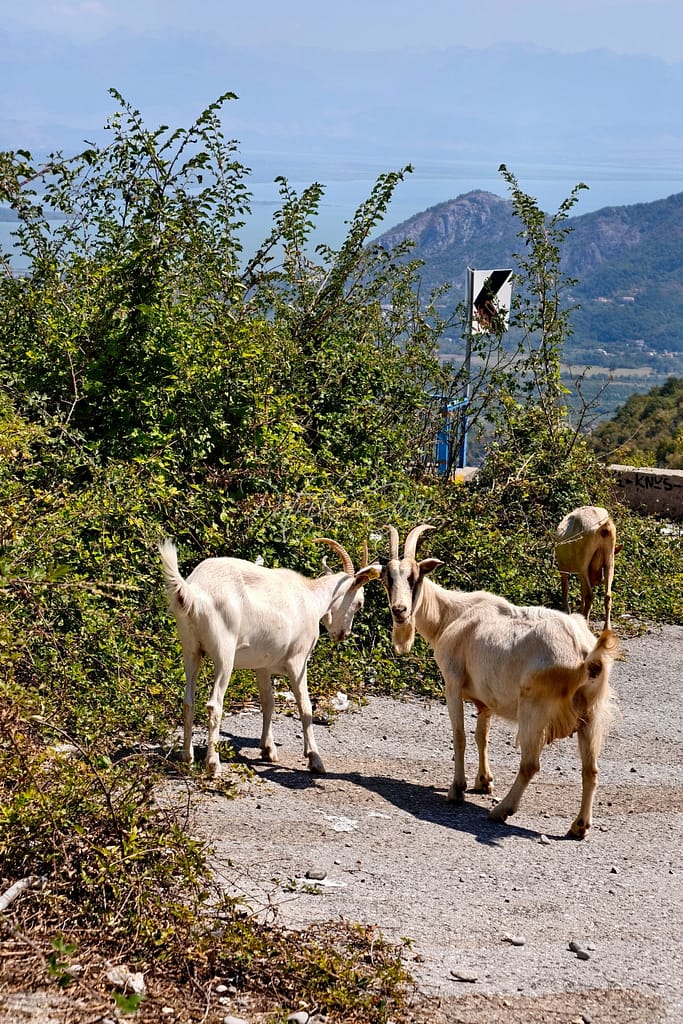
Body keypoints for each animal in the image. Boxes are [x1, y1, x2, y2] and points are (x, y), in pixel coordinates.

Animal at [159, 538, 379, 777]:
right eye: (359, 603)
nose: (343, 634)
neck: (310, 597)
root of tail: (192, 591)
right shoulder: (298, 661)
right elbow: (305, 707)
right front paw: (315, 759)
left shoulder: (262, 666)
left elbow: (268, 703)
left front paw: (268, 749)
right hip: (224, 654)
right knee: (214, 704)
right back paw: (213, 764)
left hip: (190, 650)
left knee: (188, 700)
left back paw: (187, 759)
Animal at [377, 524, 620, 838]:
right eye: (386, 578)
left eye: (414, 576)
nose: (400, 611)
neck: (451, 615)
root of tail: (586, 653)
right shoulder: (486, 697)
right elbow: (482, 736)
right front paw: (484, 781)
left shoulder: (452, 683)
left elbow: (459, 736)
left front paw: (457, 790)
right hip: (592, 713)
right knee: (591, 769)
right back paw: (578, 827)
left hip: (535, 708)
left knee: (530, 764)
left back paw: (501, 811)